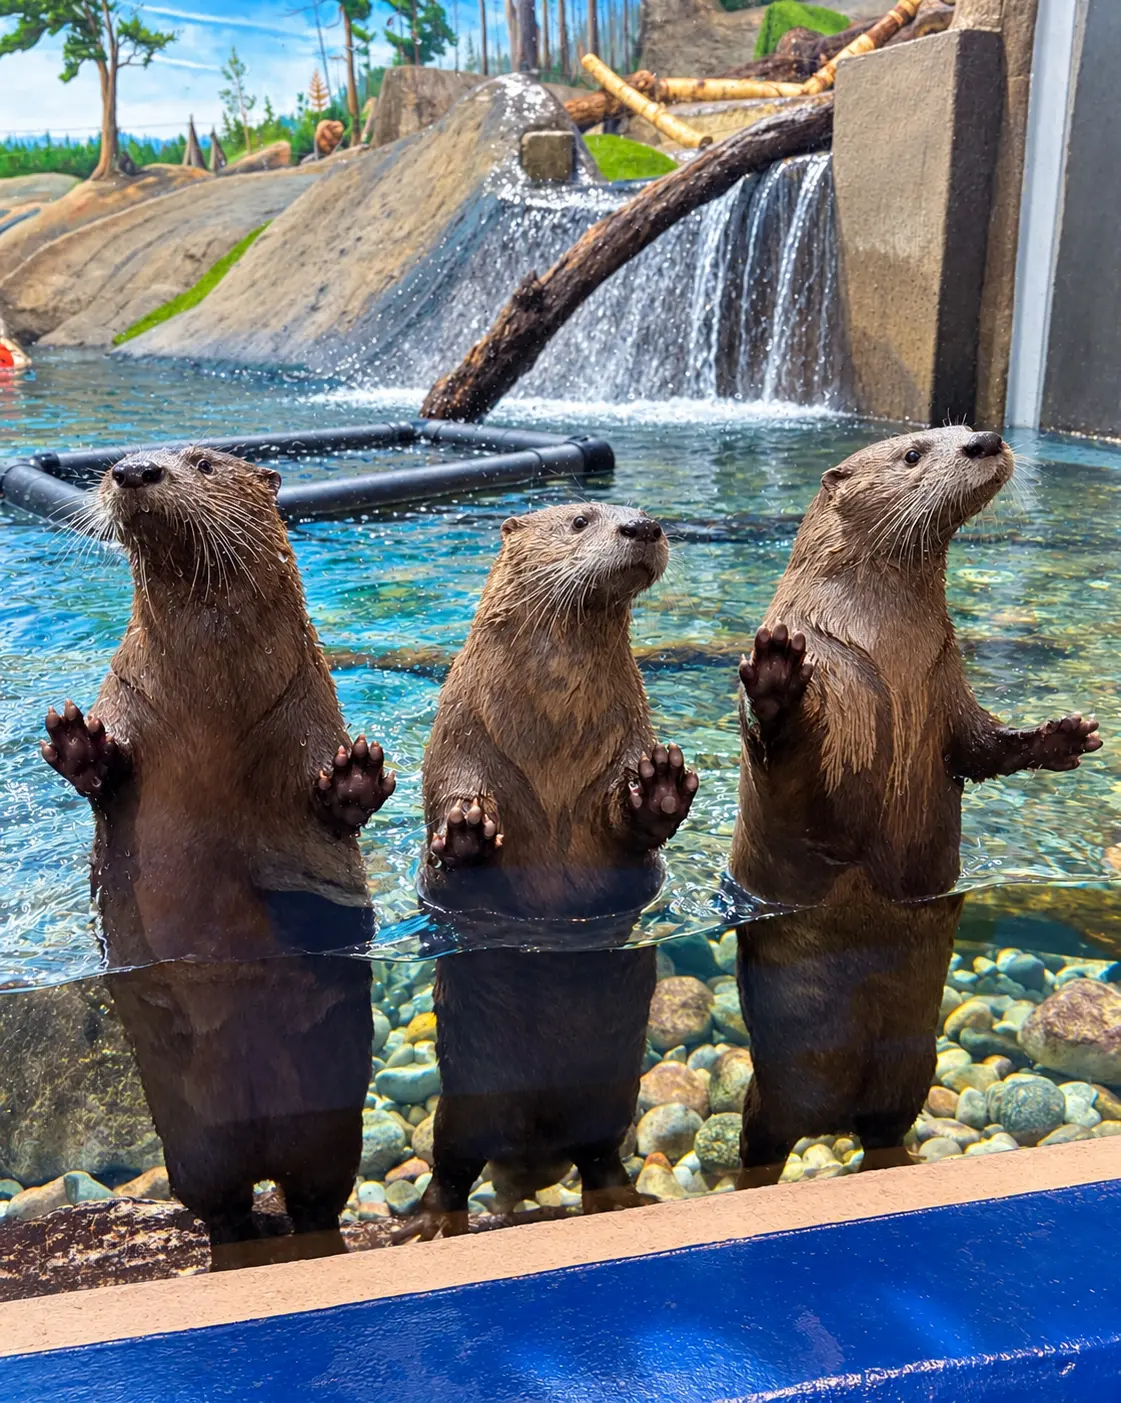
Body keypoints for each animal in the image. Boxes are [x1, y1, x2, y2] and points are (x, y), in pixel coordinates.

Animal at [41, 445, 395, 1261]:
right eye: (121, 458)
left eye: (202, 460)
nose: (133, 470)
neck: (210, 711)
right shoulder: (126, 695)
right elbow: (99, 778)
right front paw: (78, 741)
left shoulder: (311, 719)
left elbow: (335, 814)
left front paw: (356, 777)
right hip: (193, 1147)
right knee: (219, 1202)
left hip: (330, 1133)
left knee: (317, 1195)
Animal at [410, 503, 698, 1236]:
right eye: (579, 520)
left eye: (638, 514)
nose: (643, 525)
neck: (551, 747)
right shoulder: (456, 747)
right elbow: (449, 859)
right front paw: (464, 829)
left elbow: (634, 846)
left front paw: (659, 788)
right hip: (467, 1102)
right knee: (452, 1162)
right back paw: (434, 1220)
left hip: (610, 1101)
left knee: (599, 1154)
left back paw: (619, 1199)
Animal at [730, 427, 1101, 1180]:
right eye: (913, 452)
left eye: (961, 430)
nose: (986, 439)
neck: (886, 650)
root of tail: (831, 1119)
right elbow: (794, 769)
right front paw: (777, 679)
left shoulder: (947, 685)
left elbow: (984, 749)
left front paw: (1061, 737)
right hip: (776, 1087)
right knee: (761, 1134)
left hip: (911, 1071)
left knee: (885, 1124)